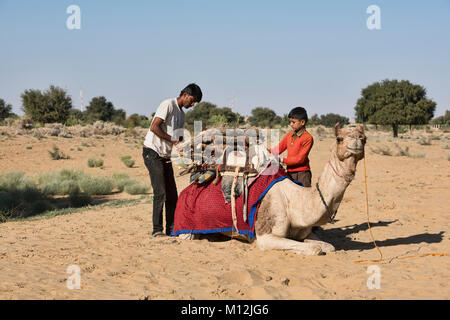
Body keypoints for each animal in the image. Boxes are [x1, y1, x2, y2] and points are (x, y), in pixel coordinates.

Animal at [177, 124, 366, 256]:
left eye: (364, 139)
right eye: (339, 138)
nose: (357, 140)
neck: (294, 202)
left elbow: (329, 246)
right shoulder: (265, 236)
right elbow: (314, 249)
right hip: (186, 226)